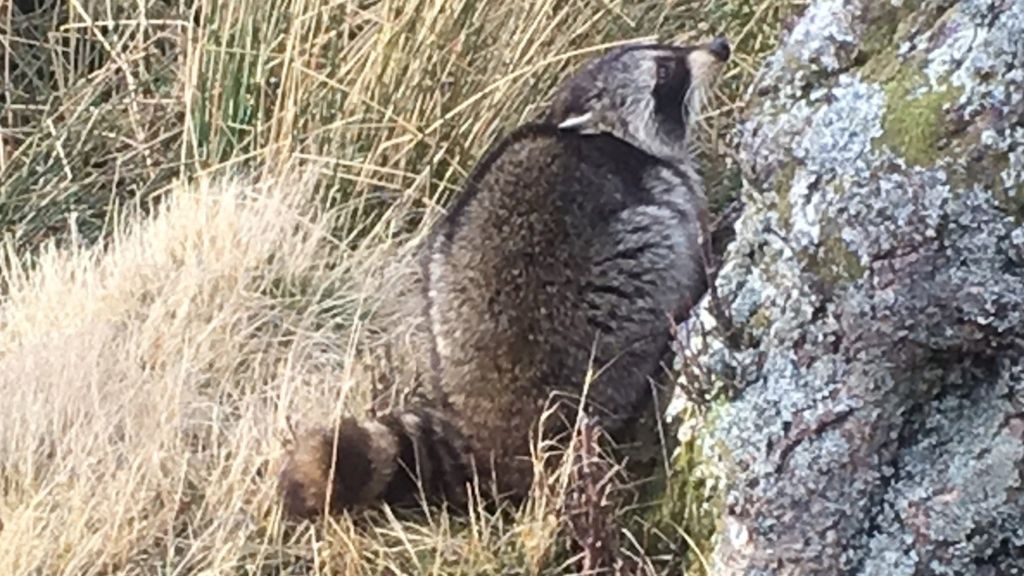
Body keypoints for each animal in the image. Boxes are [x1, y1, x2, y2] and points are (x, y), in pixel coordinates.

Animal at [279, 37, 731, 518]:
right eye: (665, 70)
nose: (719, 47)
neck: (604, 134)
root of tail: (484, 426)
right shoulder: (663, 182)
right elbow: (688, 215)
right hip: (606, 322)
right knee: (651, 249)